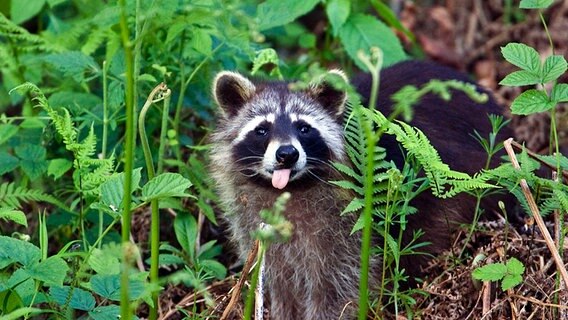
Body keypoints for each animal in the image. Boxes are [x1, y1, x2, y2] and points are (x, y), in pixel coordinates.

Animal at [211, 61, 512, 318]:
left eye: (304, 128)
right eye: (262, 129)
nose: (287, 154)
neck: (292, 190)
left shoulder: (346, 229)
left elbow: (339, 287)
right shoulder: (256, 224)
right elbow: (279, 284)